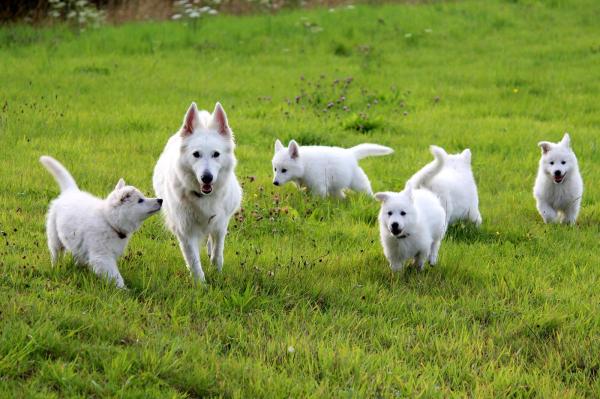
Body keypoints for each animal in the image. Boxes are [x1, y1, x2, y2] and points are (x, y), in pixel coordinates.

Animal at [40, 155, 163, 290]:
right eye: (140, 201)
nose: (160, 200)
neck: (109, 221)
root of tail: (70, 192)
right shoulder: (103, 256)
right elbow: (115, 275)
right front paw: (123, 289)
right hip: (54, 235)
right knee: (56, 252)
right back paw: (56, 266)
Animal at [154, 103, 243, 284]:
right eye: (196, 154)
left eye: (216, 154)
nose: (207, 177)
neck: (204, 197)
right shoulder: (185, 232)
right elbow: (194, 261)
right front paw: (201, 285)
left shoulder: (220, 224)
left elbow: (217, 252)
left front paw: (216, 271)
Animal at [376, 145, 446, 274]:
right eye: (389, 213)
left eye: (403, 213)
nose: (394, 224)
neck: (403, 237)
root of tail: (419, 190)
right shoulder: (392, 252)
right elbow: (396, 266)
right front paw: (398, 275)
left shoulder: (423, 246)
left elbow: (419, 260)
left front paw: (416, 269)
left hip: (439, 229)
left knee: (435, 244)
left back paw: (433, 260)